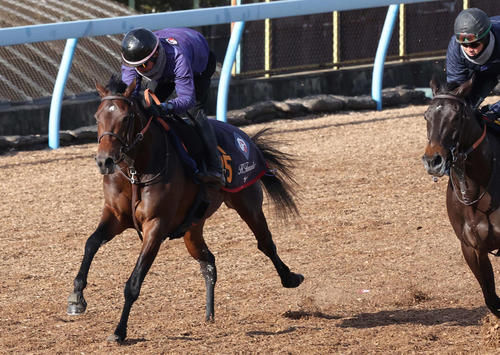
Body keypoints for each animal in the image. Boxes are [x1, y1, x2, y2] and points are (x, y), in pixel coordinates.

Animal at [65, 76, 302, 344]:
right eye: (97, 117)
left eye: (126, 118)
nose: (104, 161)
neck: (137, 170)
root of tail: (246, 138)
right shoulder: (115, 215)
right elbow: (91, 243)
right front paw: (77, 297)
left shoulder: (156, 226)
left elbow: (134, 282)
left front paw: (119, 330)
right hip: (193, 227)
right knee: (208, 261)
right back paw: (209, 314)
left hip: (247, 202)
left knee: (266, 243)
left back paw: (290, 278)